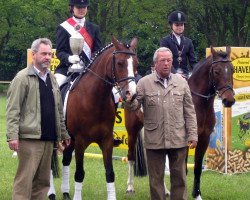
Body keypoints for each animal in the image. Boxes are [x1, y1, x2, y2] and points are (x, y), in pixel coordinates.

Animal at [60, 36, 139, 200]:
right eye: (120, 63)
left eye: (136, 64)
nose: (132, 95)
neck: (94, 99)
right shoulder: (80, 141)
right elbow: (79, 173)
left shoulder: (106, 141)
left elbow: (110, 173)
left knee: (66, 159)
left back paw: (65, 193)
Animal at [124, 46, 235, 199]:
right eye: (217, 71)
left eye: (232, 70)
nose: (229, 100)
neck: (199, 104)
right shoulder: (185, 141)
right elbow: (183, 170)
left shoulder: (204, 139)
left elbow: (197, 168)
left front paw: (197, 195)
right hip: (132, 131)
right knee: (131, 157)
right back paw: (130, 187)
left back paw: (165, 190)